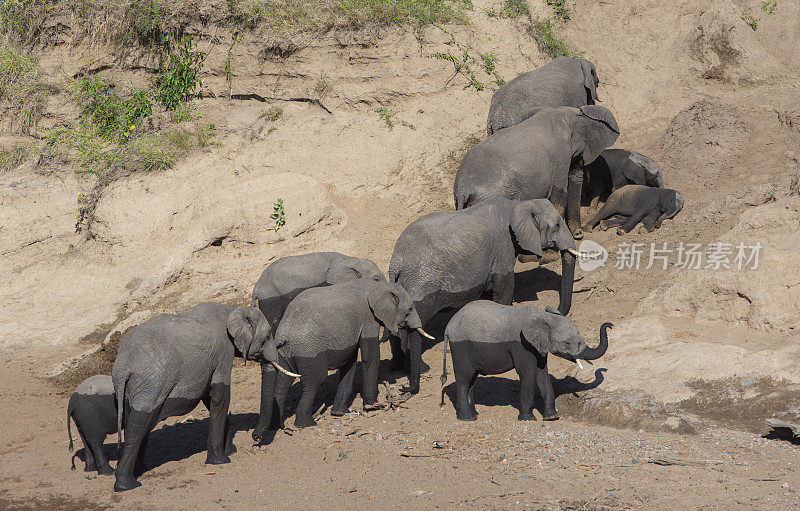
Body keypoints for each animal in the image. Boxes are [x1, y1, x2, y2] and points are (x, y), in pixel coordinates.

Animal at [111, 304, 296, 492]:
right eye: (266, 337)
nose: (255, 438)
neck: (231, 309)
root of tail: (122, 367)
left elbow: (210, 397)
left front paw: (230, 450)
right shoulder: (223, 352)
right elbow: (220, 398)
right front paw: (221, 460)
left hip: (132, 390)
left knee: (133, 420)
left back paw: (139, 471)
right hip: (151, 384)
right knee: (139, 425)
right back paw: (127, 484)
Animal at [253, 278, 432, 438]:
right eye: (409, 309)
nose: (403, 389)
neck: (381, 285)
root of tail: (284, 333)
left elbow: (349, 362)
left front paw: (339, 413)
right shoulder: (368, 318)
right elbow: (370, 357)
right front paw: (372, 406)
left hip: (284, 352)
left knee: (282, 382)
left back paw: (276, 427)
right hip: (308, 350)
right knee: (314, 381)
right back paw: (305, 424)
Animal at [386, 198, 580, 394]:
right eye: (557, 225)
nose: (555, 309)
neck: (518, 205)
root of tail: (396, 263)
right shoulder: (504, 247)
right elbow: (504, 289)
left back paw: (402, 367)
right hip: (421, 286)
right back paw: (421, 369)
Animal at [440, 302, 608, 422]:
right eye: (567, 343)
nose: (609, 325)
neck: (543, 316)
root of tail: (448, 328)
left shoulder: (538, 346)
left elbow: (542, 374)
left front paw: (552, 417)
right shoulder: (522, 345)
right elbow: (528, 373)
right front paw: (528, 419)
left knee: (472, 379)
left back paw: (474, 414)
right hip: (461, 347)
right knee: (464, 378)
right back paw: (467, 418)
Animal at [456, 105, 620, 240]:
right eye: (579, 153)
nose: (580, 234)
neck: (567, 115)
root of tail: (463, 189)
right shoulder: (560, 157)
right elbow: (558, 197)